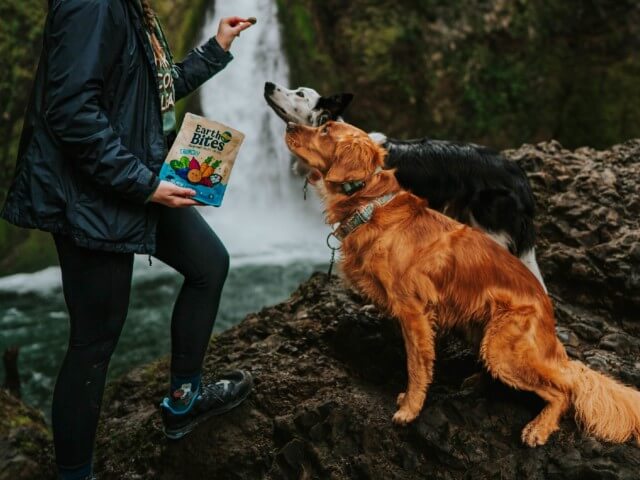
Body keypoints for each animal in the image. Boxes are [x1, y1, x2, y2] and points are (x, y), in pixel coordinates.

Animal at [288, 120, 640, 446]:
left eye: (325, 129)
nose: (289, 126)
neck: (369, 205)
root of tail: (549, 317)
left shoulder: (413, 312)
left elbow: (417, 366)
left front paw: (410, 410)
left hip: (502, 346)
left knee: (564, 390)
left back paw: (538, 429)